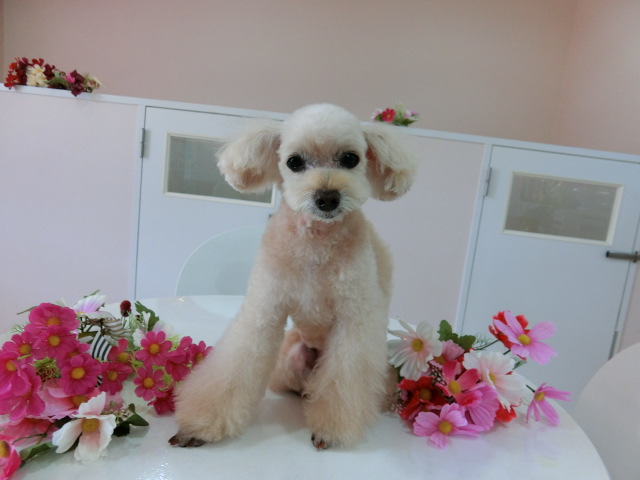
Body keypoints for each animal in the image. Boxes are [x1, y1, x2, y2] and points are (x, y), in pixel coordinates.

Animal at [169, 103, 417, 449]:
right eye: (294, 162)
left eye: (351, 158)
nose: (327, 197)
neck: (316, 242)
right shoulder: (265, 307)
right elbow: (237, 362)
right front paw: (200, 425)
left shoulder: (354, 318)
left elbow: (346, 378)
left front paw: (333, 429)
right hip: (290, 360)